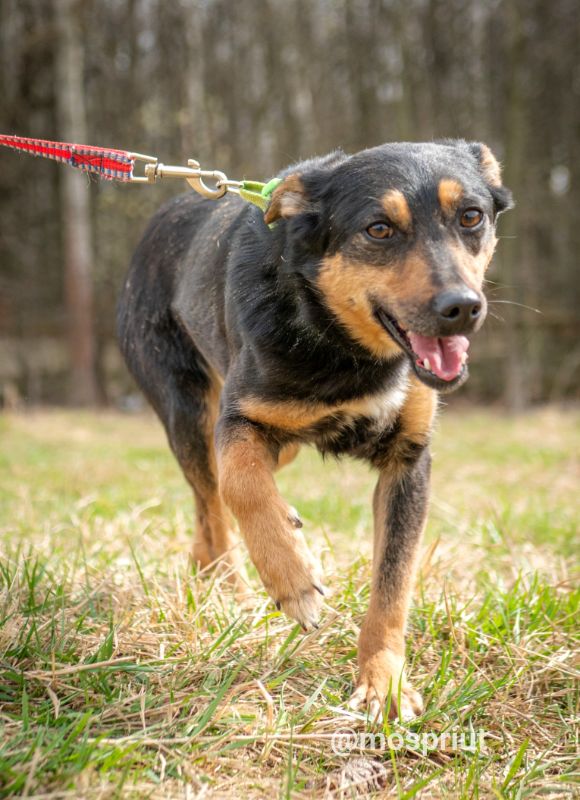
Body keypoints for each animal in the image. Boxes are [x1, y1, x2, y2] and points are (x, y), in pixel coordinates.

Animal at [116, 141, 512, 720]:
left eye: (471, 217)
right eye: (378, 229)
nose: (462, 308)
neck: (342, 345)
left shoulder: (407, 463)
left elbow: (392, 585)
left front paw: (383, 683)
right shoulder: (239, 418)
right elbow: (242, 485)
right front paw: (293, 579)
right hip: (187, 408)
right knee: (213, 500)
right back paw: (228, 587)